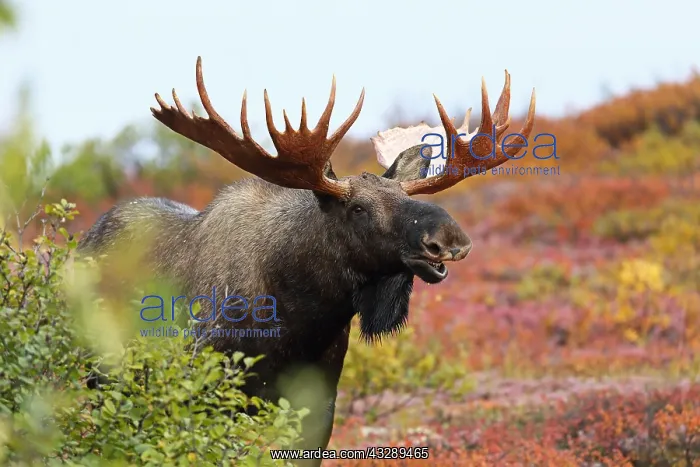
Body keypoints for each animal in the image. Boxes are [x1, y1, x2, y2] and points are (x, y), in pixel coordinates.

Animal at [77, 56, 535, 465]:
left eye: (404, 196)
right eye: (357, 209)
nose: (449, 239)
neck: (300, 313)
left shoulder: (319, 404)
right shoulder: (206, 392)